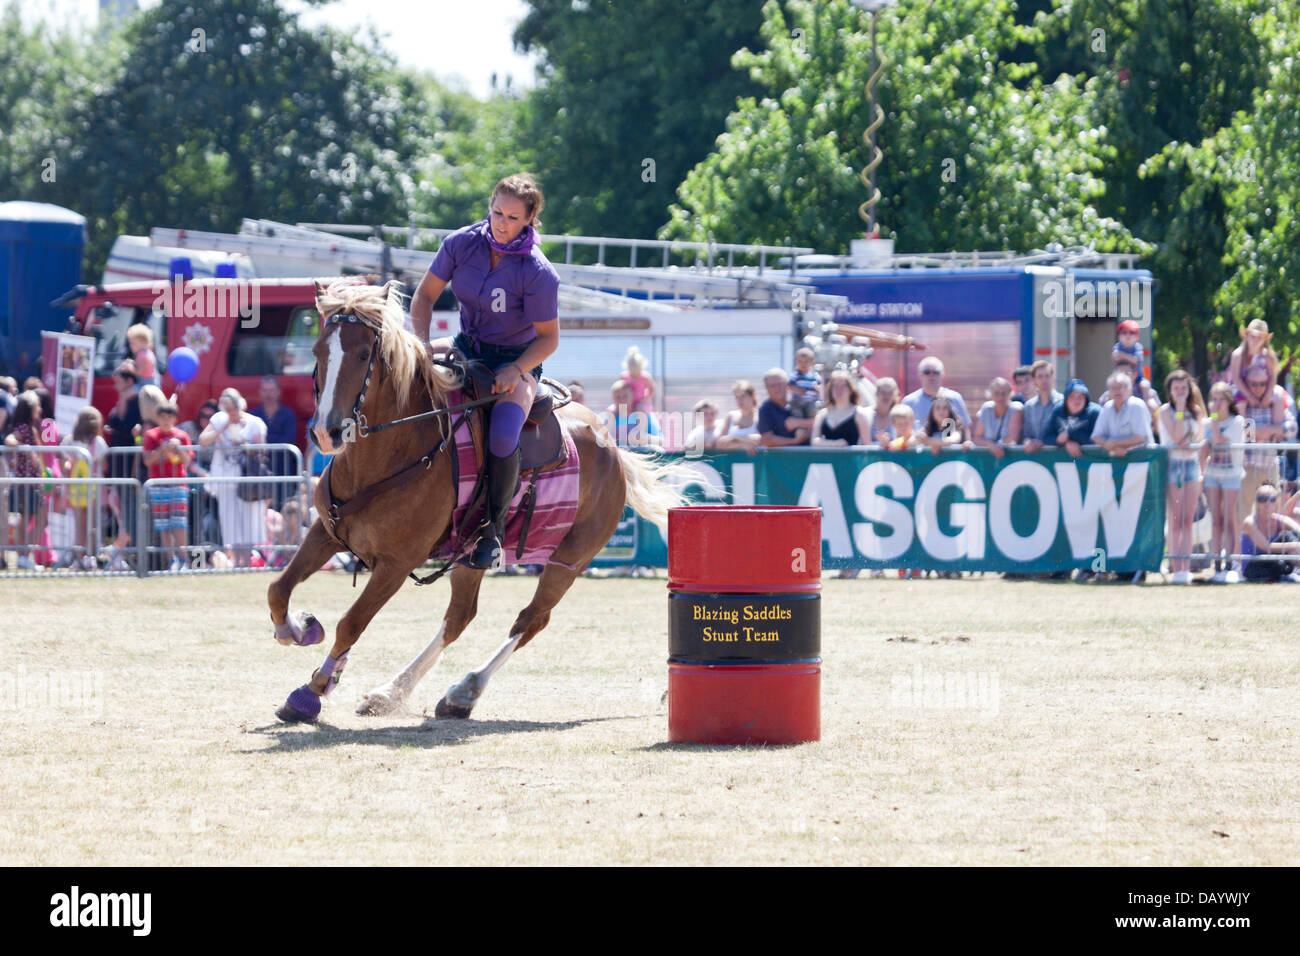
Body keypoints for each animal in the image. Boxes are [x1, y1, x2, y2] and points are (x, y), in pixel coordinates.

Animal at [267, 280, 686, 723]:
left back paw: (464, 690)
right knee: (460, 617)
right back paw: (394, 691)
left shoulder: (395, 565)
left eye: (364, 354)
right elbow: (278, 589)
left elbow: (352, 622)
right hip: (470, 557)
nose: (326, 432)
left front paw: (312, 690)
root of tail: (612, 447)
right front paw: (298, 629)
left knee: (531, 620)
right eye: (317, 351)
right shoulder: (326, 532)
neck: (393, 452)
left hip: (570, 558)